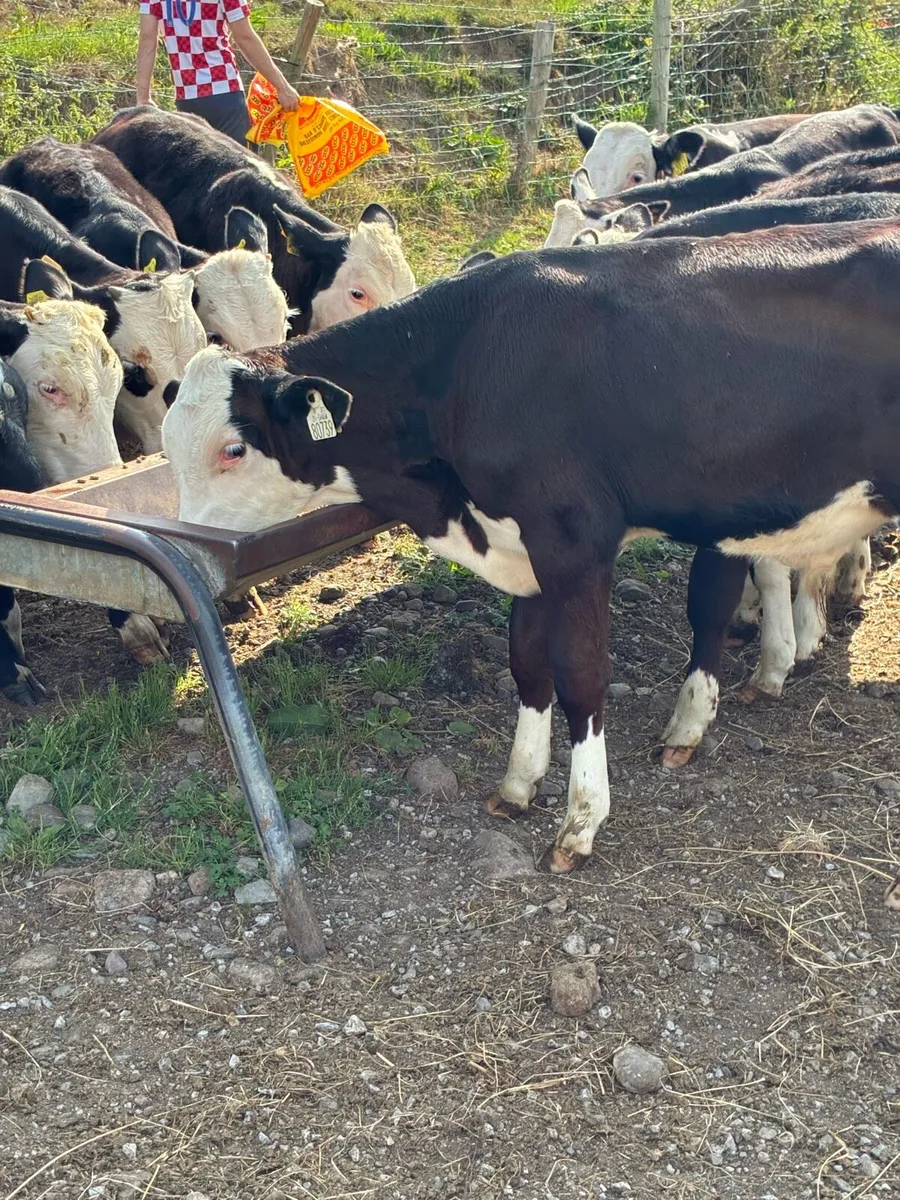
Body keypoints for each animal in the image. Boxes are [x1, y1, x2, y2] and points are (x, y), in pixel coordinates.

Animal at [161, 219, 900, 872]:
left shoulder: (572, 542)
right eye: (167, 447)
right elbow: (527, 664)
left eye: (232, 449)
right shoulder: (521, 548)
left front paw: (581, 822)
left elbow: (580, 674)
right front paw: (518, 785)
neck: (464, 363)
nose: (190, 562)